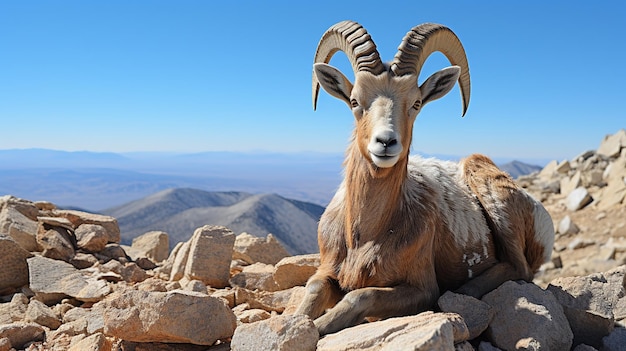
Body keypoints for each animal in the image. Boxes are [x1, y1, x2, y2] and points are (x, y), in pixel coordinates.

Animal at [294, 20, 552, 336]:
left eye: (416, 103)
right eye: (355, 101)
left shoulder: (420, 288)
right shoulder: (327, 269)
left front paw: (318, 327)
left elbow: (360, 295)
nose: (386, 142)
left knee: (519, 268)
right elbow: (314, 288)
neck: (366, 235)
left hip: (495, 199)